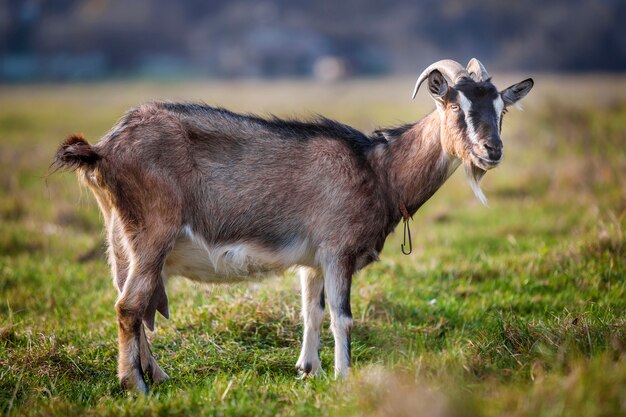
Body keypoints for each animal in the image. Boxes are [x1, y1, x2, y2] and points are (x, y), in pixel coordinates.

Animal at [54, 57, 532, 392]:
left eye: (502, 109)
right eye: (454, 105)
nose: (492, 150)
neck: (379, 169)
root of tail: (103, 149)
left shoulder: (313, 259)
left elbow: (312, 311)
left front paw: (309, 370)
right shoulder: (338, 250)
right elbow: (342, 317)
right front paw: (343, 378)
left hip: (120, 238)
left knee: (132, 303)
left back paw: (156, 374)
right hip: (152, 233)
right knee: (130, 306)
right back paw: (135, 385)